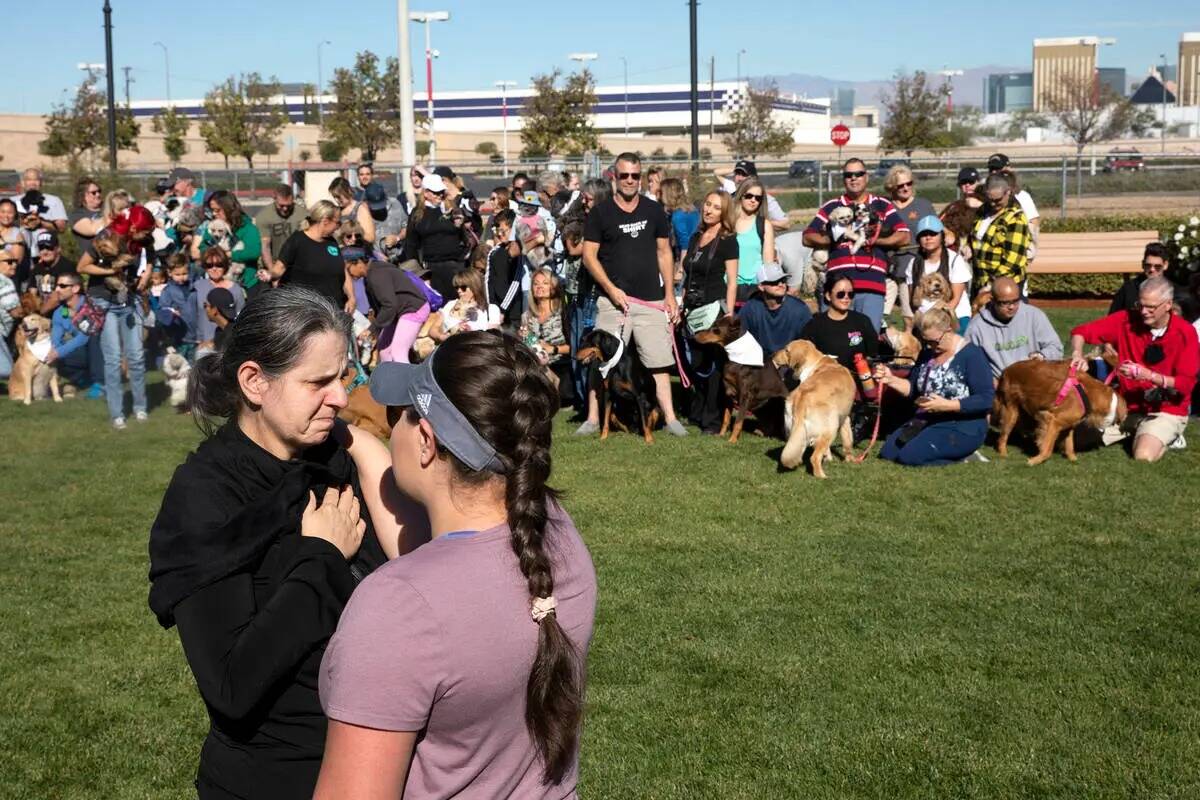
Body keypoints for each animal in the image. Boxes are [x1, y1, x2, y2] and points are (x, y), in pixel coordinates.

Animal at [772, 340, 859, 479]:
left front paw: (829, 458)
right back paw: (822, 476)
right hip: (832, 426)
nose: (773, 354)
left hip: (795, 431)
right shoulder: (845, 418)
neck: (816, 362)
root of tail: (802, 398)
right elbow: (848, 441)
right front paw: (850, 460)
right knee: (814, 457)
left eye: (786, 350)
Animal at [993, 359, 1123, 465]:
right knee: (1002, 436)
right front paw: (1035, 460)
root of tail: (1006, 370)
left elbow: (1070, 445)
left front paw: (1073, 459)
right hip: (1011, 411)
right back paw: (1004, 454)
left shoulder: (1069, 424)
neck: (1090, 393)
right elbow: (1047, 448)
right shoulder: (1053, 420)